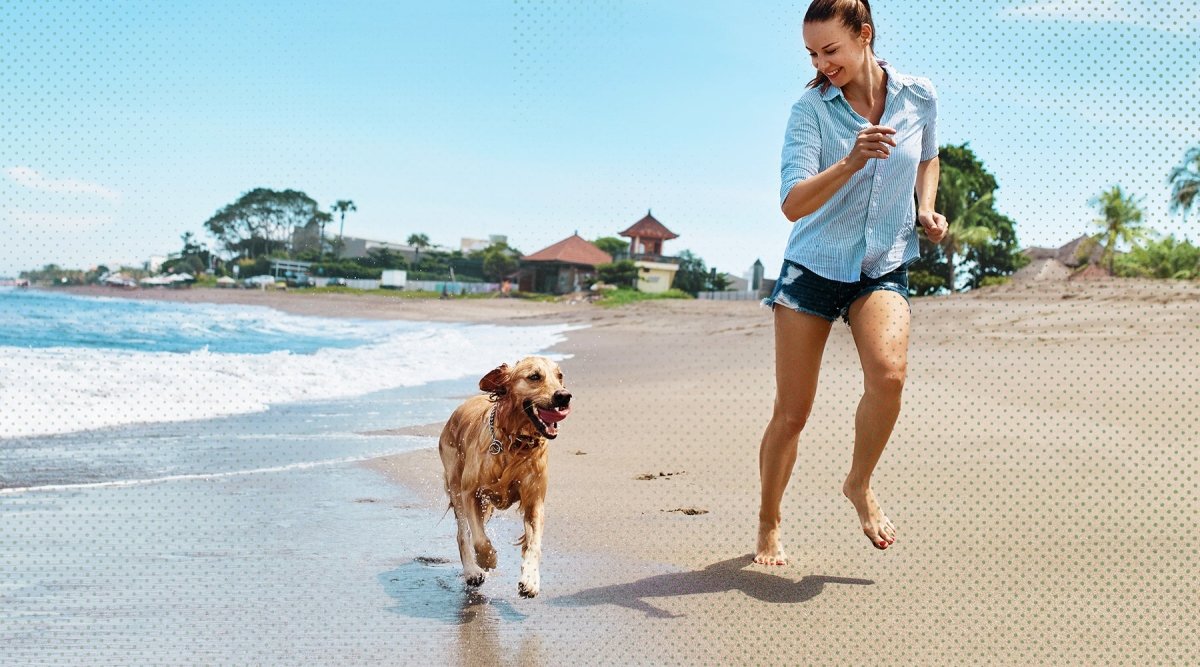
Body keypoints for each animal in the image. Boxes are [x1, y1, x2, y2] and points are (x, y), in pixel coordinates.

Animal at [441, 357, 571, 597]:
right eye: (534, 376)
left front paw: (530, 580)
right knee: (463, 533)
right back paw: (472, 571)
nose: (564, 396)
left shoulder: (534, 501)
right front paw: (488, 559)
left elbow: (534, 544)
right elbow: (480, 540)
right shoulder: (470, 492)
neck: (516, 442)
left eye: (560, 376)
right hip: (455, 485)